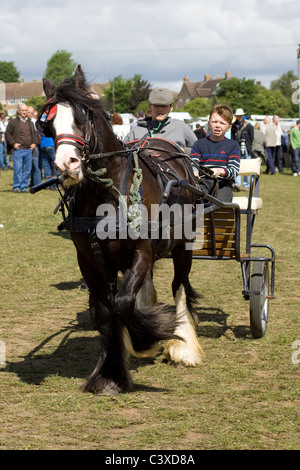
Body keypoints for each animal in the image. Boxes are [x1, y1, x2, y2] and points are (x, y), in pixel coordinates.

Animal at [36, 63, 203, 392]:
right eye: (47, 126)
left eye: (82, 116)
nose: (66, 165)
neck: (106, 192)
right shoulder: (89, 258)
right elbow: (105, 310)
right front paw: (109, 373)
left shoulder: (142, 250)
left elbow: (123, 303)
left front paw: (145, 340)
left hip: (182, 245)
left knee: (179, 285)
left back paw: (184, 345)